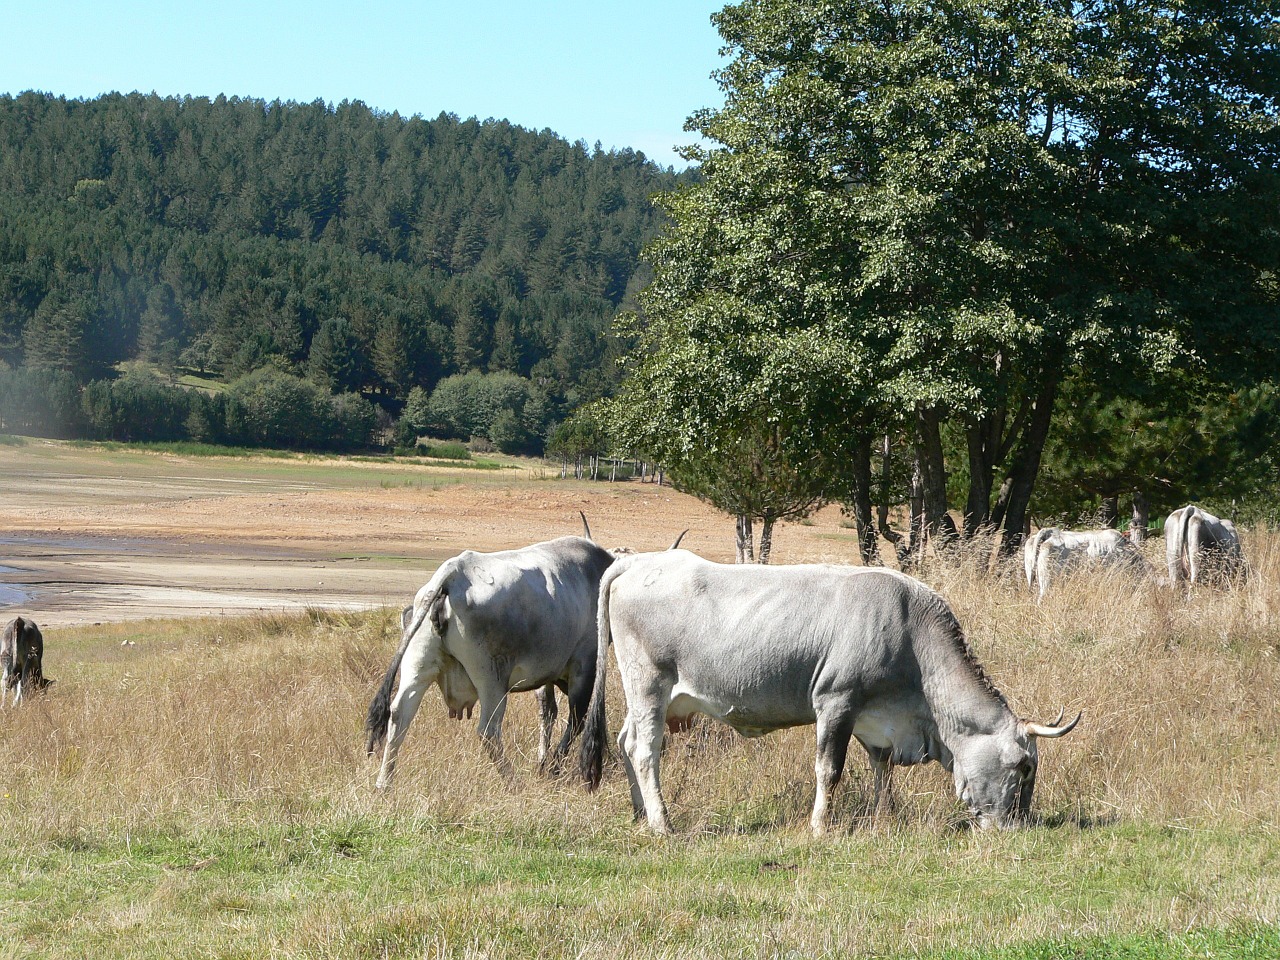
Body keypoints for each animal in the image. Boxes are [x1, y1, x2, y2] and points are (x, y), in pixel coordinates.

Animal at [583, 552, 1080, 839]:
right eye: (1025, 766)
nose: (1018, 825)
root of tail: (637, 561)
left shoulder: (876, 720)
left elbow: (882, 769)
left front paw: (885, 816)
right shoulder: (837, 701)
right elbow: (830, 769)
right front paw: (821, 826)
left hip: (648, 695)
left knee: (626, 741)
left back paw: (639, 812)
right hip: (649, 683)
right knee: (645, 749)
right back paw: (662, 823)